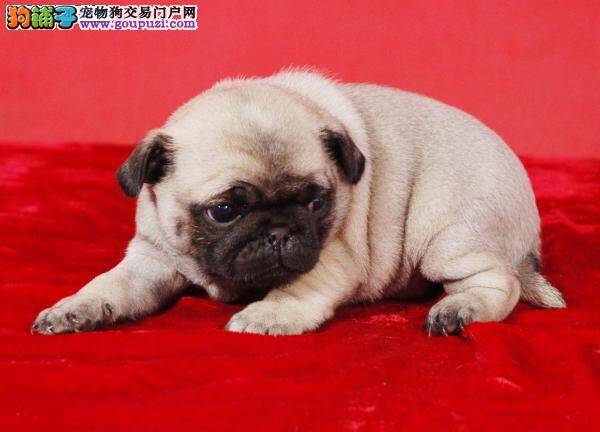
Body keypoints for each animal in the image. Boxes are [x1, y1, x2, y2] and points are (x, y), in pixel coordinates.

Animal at [32, 70, 565, 336]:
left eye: (315, 202)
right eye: (224, 210)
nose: (280, 231)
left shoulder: (333, 253)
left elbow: (298, 284)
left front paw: (269, 314)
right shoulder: (153, 254)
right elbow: (114, 284)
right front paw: (78, 307)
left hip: (447, 237)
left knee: (499, 282)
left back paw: (459, 309)